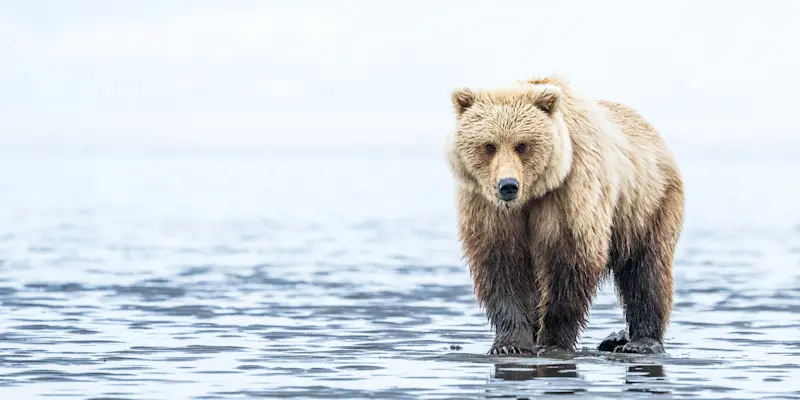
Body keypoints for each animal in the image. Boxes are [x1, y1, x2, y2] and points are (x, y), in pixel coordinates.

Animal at [446, 75, 684, 355]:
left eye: (522, 145)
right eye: (489, 146)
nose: (508, 185)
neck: (531, 195)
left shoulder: (569, 195)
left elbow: (569, 262)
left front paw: (552, 343)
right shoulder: (487, 208)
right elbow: (501, 265)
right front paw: (510, 344)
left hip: (647, 205)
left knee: (646, 271)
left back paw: (639, 342)